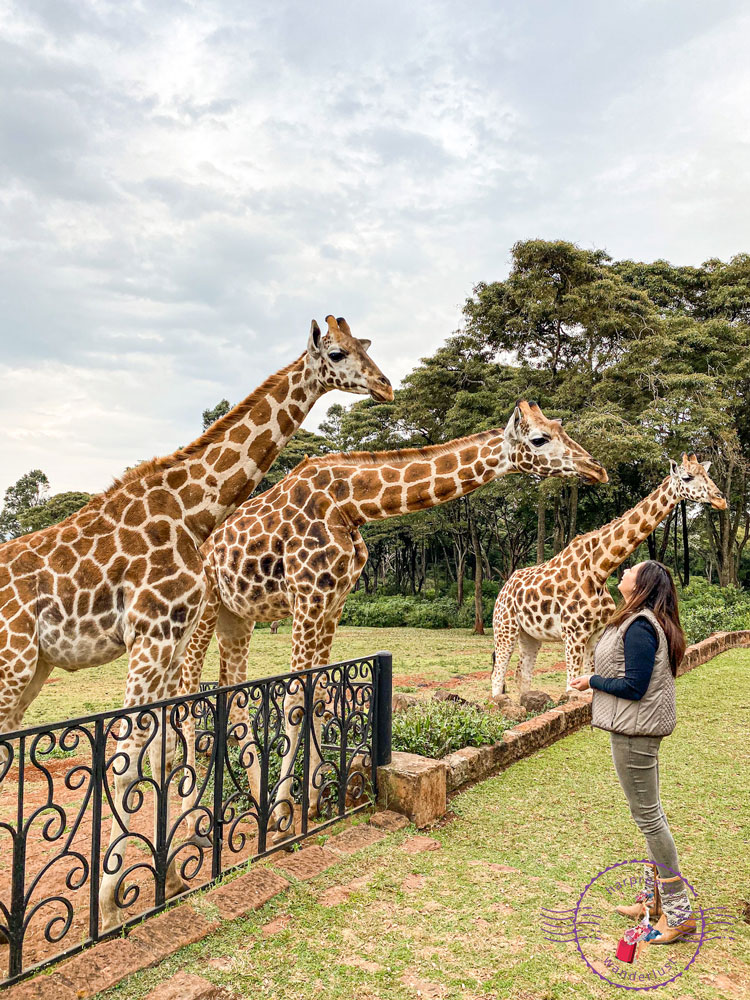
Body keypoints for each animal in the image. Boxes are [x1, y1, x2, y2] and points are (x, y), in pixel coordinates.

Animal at [0, 314, 396, 928]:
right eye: (337, 352)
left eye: (364, 346)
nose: (385, 386)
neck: (193, 510)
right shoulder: (150, 632)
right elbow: (126, 760)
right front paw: (108, 905)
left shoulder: (171, 636)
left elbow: (160, 748)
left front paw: (168, 868)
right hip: (13, 663)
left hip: (33, 670)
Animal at [176, 398, 612, 828]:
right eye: (539, 439)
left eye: (559, 426)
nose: (596, 467)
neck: (352, 503)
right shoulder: (307, 595)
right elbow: (296, 698)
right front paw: (285, 811)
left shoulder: (332, 603)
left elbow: (318, 697)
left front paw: (313, 802)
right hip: (205, 609)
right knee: (186, 694)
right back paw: (191, 816)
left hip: (237, 615)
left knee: (231, 695)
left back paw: (249, 798)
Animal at [490, 454, 732, 696]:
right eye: (687, 477)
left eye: (707, 474)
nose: (721, 499)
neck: (600, 570)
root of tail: (503, 589)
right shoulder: (573, 634)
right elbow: (571, 689)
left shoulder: (594, 633)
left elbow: (587, 687)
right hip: (505, 627)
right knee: (497, 675)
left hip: (530, 635)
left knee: (522, 675)